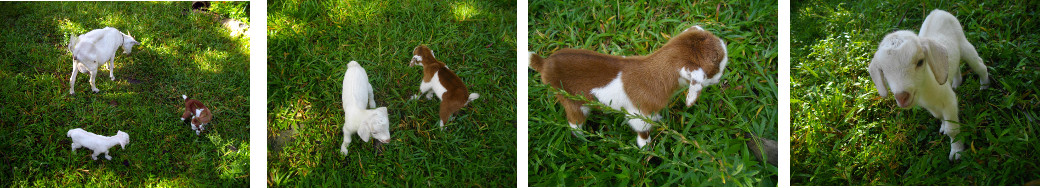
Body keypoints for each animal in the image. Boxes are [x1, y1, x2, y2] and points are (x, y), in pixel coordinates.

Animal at [869, 9, 990, 159]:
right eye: (883, 71)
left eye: (920, 62)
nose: (902, 97)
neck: (926, 91)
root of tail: (937, 11)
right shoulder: (931, 106)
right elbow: (939, 117)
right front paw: (943, 126)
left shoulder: (949, 101)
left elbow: (952, 130)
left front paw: (956, 151)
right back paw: (957, 82)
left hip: (964, 43)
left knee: (979, 65)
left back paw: (984, 85)